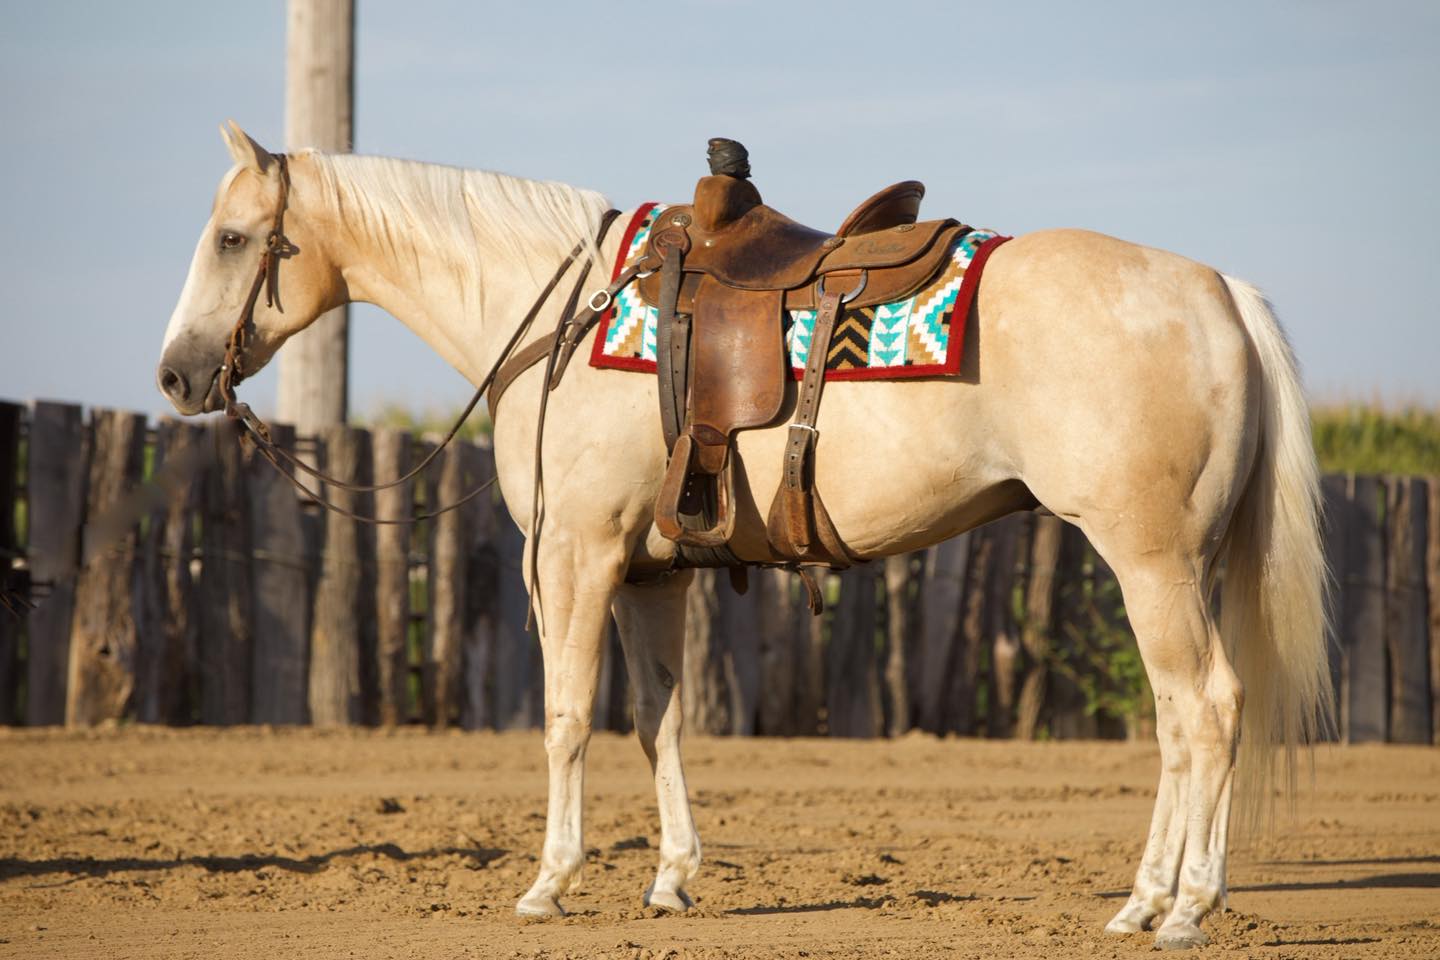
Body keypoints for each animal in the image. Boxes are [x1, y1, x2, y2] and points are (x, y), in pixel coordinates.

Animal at [157, 122, 1331, 949]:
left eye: (230, 238)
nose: (174, 376)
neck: (566, 316)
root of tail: (1219, 291)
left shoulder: (577, 555)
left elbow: (567, 718)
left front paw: (548, 884)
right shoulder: (651, 575)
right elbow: (660, 721)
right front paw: (672, 878)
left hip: (1150, 564)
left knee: (1204, 710)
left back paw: (1186, 907)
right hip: (1183, 567)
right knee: (1181, 722)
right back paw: (1145, 902)